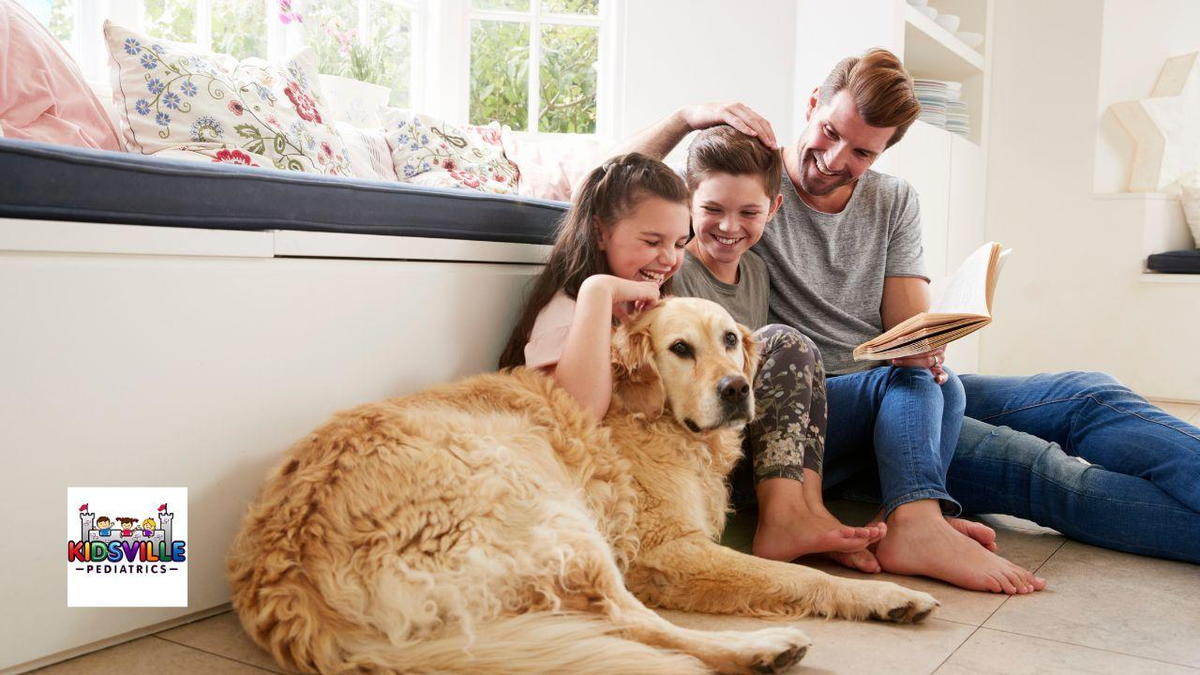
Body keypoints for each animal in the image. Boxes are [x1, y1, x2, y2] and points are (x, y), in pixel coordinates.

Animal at [225, 296, 936, 667]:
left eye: (731, 340)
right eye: (680, 349)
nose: (738, 389)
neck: (654, 418)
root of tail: (286, 581)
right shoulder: (667, 551)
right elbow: (796, 574)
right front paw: (881, 595)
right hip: (549, 510)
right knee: (631, 626)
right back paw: (763, 648)